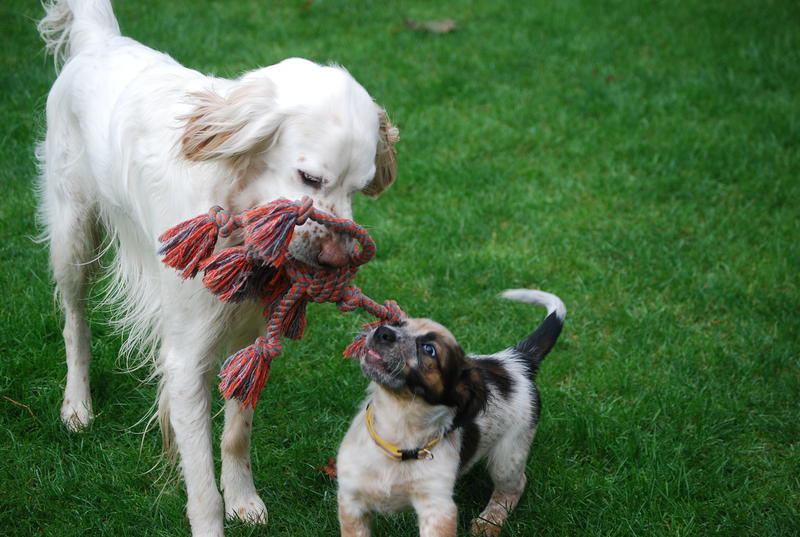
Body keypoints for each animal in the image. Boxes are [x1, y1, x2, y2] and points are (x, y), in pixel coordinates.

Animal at [38, 2, 400, 532]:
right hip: (73, 235)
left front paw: (243, 499)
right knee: (74, 322)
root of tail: (101, 40)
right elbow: (202, 488)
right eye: (310, 178)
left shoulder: (254, 335)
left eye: (359, 188)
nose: (339, 259)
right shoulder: (187, 360)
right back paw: (76, 404)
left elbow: (236, 433)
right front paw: (215, 516)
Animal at [334, 292, 564, 532]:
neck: (399, 426)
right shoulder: (351, 497)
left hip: (509, 454)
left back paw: (489, 521)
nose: (383, 331)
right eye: (397, 323)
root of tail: (514, 361)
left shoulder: (437, 506)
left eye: (429, 349)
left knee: (515, 486)